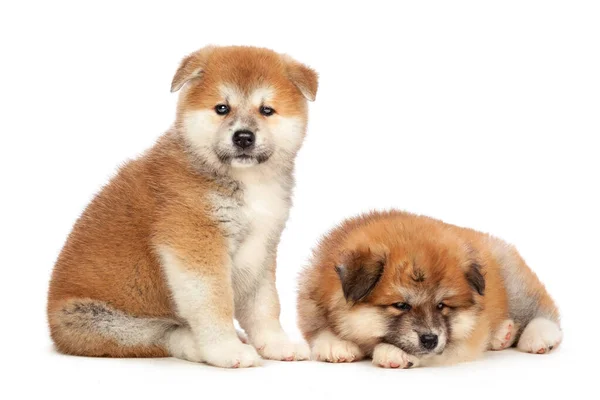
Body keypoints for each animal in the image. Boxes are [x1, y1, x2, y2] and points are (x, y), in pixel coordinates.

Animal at [48, 45, 318, 368]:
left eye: (266, 110)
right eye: (222, 108)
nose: (243, 137)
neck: (244, 180)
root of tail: (53, 326)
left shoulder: (261, 249)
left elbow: (264, 305)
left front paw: (275, 343)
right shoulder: (195, 243)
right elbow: (214, 304)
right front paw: (226, 349)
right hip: (105, 323)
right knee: (168, 334)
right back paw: (202, 347)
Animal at [298, 211, 564, 368]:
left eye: (441, 305)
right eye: (401, 305)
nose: (430, 339)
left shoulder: (463, 340)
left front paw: (391, 352)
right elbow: (319, 330)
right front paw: (335, 344)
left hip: (513, 279)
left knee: (543, 309)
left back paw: (538, 336)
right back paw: (502, 335)